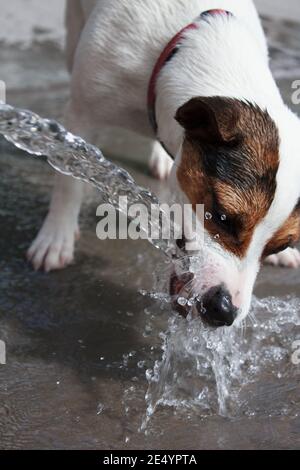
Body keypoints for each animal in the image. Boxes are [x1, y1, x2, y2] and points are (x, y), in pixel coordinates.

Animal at [27, 0, 300, 326]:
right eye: (222, 217)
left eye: (282, 243)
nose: (225, 311)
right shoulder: (82, 113)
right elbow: (69, 180)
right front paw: (57, 234)